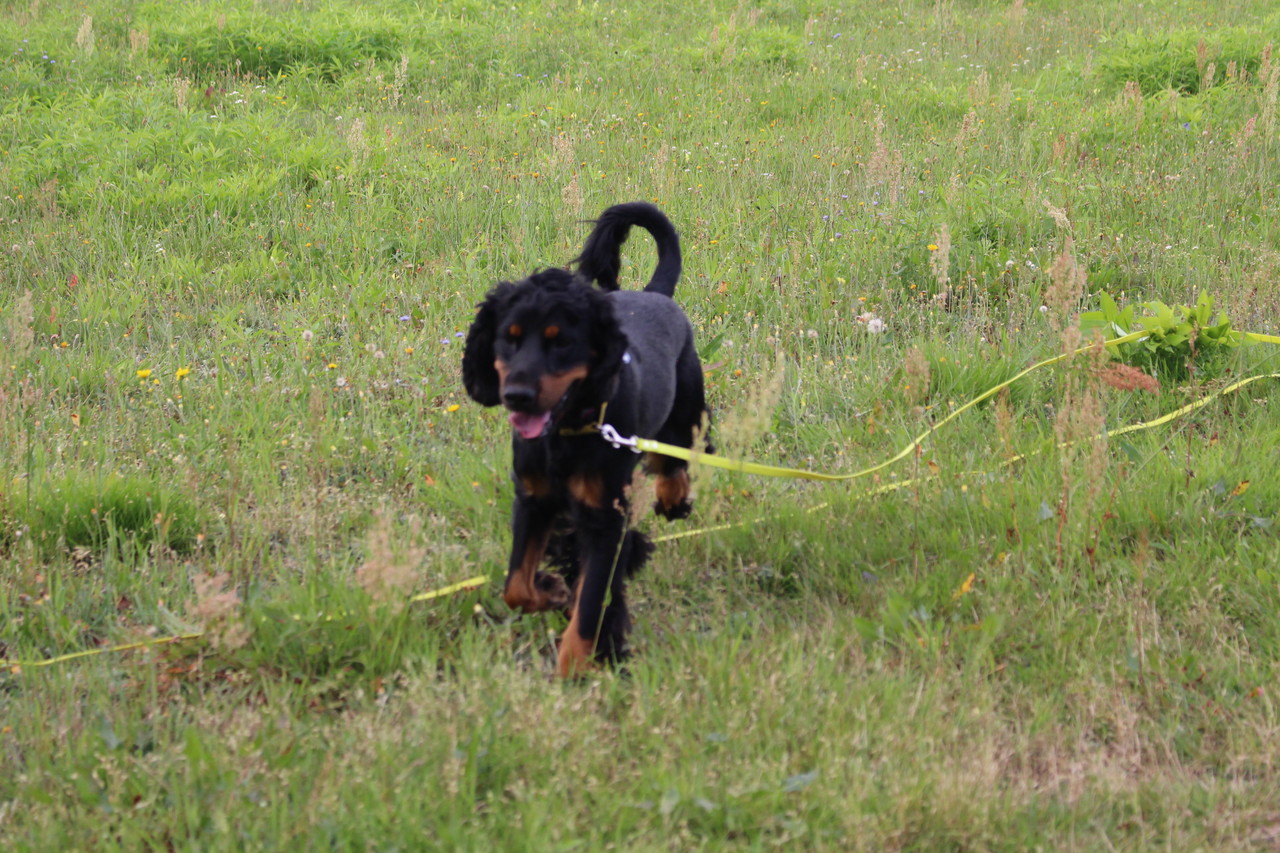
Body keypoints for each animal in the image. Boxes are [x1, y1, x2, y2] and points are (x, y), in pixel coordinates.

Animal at [462, 202, 711, 677]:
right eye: (508, 338)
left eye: (562, 342)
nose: (516, 396)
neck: (566, 432)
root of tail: (655, 294)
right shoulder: (534, 499)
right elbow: (515, 586)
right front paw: (552, 589)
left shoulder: (603, 517)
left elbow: (592, 602)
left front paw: (574, 672)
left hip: (684, 409)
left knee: (673, 461)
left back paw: (673, 499)